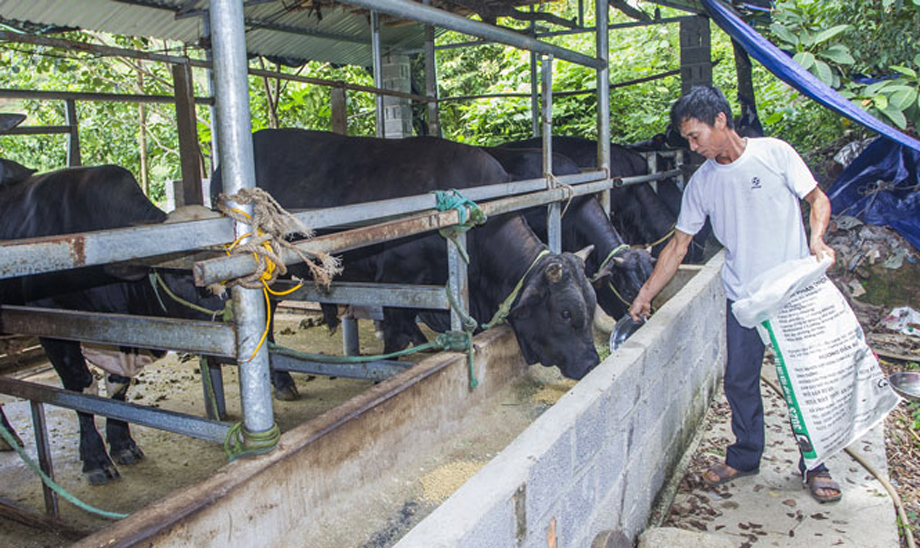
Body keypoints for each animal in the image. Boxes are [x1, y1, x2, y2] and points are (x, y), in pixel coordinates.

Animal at [0, 161, 227, 482]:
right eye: (182, 274)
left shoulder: (121, 333)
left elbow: (118, 386)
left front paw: (123, 445)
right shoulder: (51, 323)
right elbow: (80, 389)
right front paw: (95, 458)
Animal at [213, 131, 604, 382]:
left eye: (590, 304)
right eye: (566, 313)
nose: (592, 364)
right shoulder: (397, 282)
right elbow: (395, 338)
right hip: (270, 274)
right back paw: (280, 380)